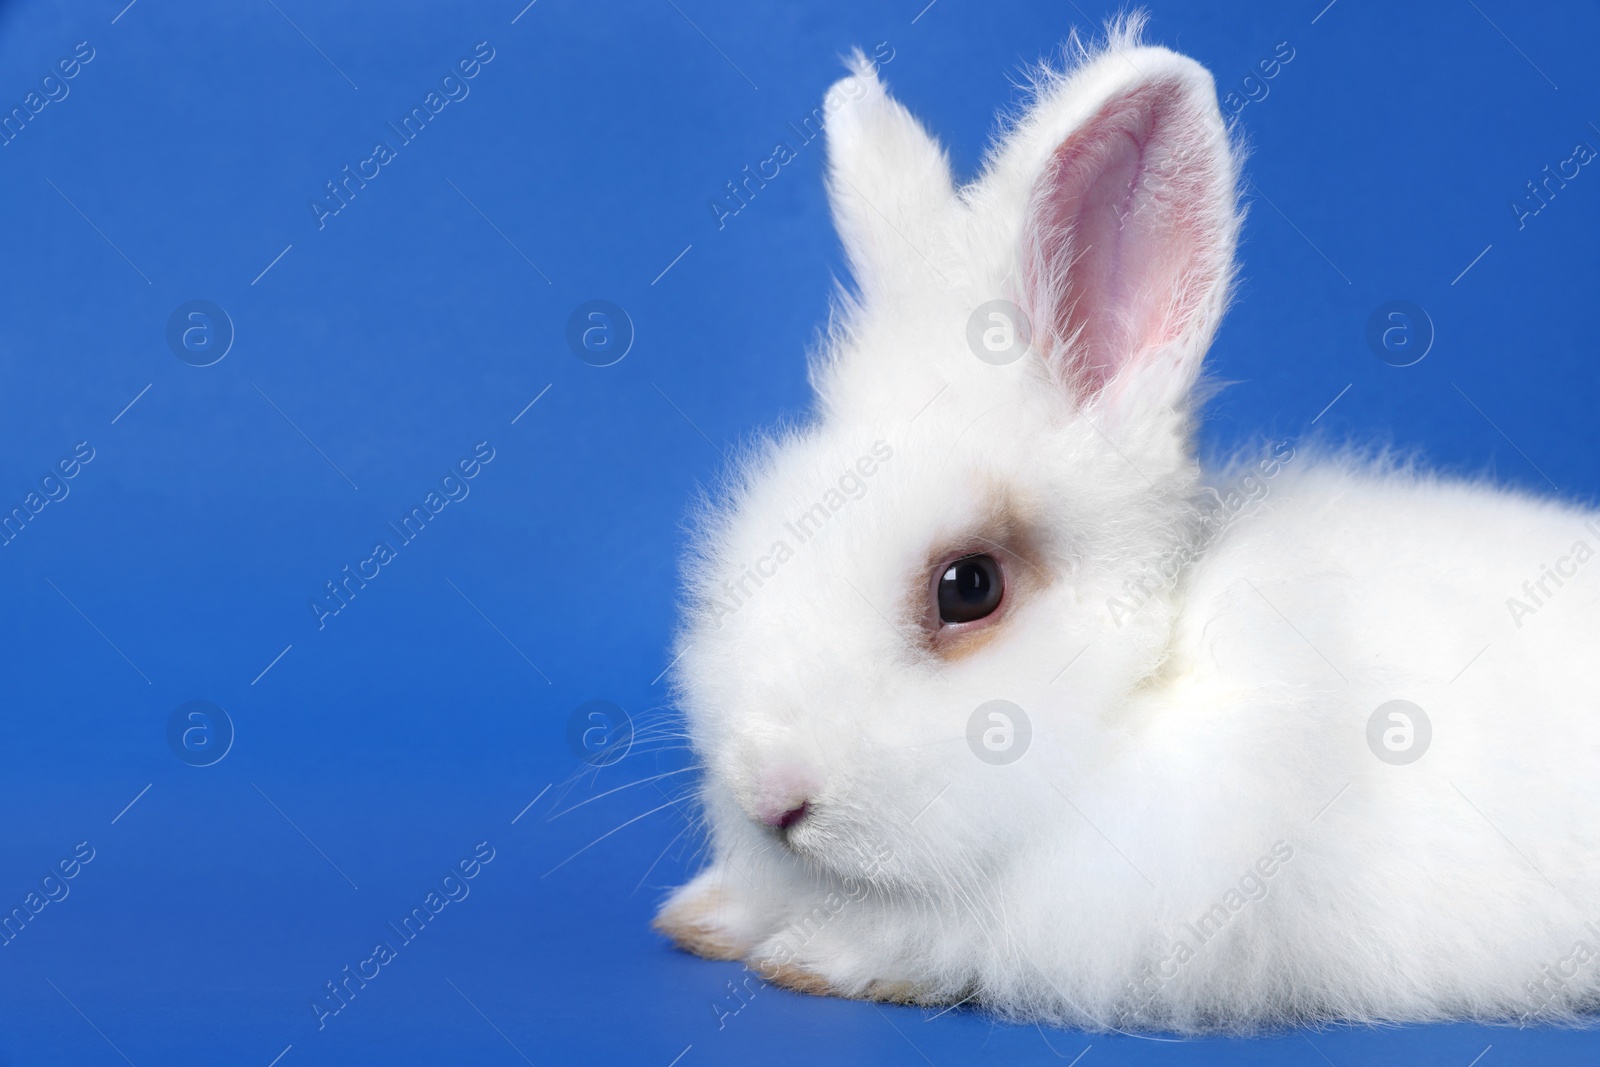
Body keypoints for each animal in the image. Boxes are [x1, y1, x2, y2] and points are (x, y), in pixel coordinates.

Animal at [649, 18, 1600, 1036]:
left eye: (969, 586)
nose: (771, 795)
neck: (1137, 703)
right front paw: (704, 915)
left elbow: (938, 939)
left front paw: (813, 955)